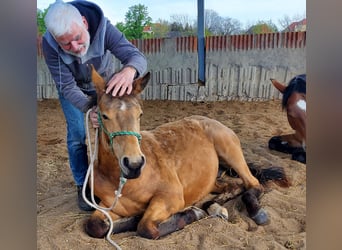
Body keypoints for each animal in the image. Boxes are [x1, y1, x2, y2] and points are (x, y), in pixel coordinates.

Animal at [83, 65, 288, 239]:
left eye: (140, 114)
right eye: (104, 115)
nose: (134, 164)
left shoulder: (171, 197)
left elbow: (146, 228)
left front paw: (191, 213)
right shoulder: (108, 207)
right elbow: (95, 226)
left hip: (231, 154)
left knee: (252, 184)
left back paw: (256, 212)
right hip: (211, 179)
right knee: (232, 186)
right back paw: (214, 207)